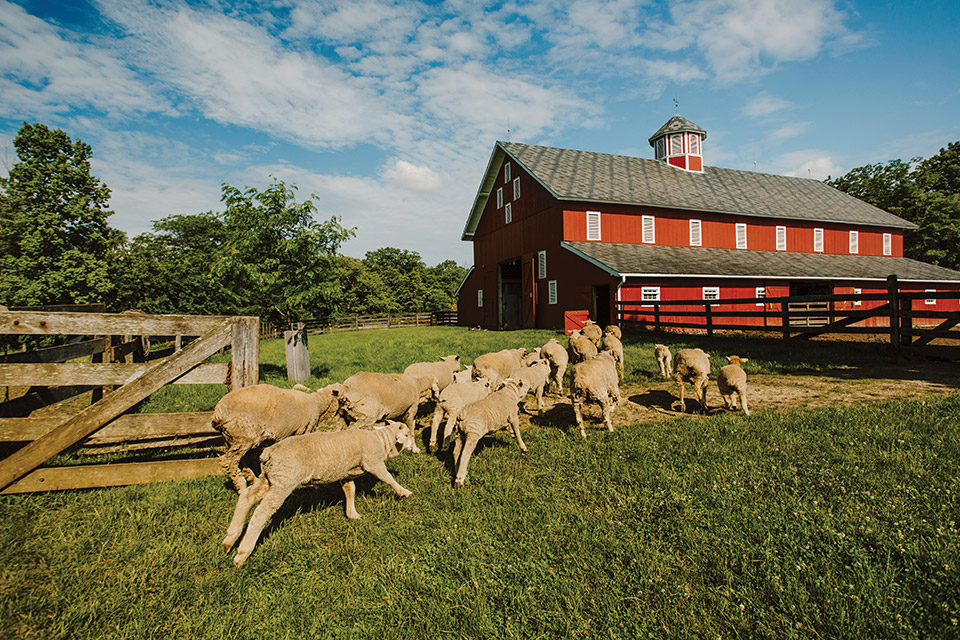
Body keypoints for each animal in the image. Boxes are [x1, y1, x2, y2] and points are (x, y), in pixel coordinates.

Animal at [210, 382, 342, 492]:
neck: (319, 404)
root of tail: (218, 413)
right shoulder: (302, 431)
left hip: (232, 440)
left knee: (240, 461)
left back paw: (253, 481)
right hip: (242, 437)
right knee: (230, 462)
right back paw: (241, 486)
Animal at [221, 422, 416, 568]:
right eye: (408, 434)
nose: (416, 449)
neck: (382, 441)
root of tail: (268, 452)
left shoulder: (344, 472)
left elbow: (350, 489)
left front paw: (352, 513)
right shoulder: (373, 462)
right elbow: (388, 478)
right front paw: (404, 492)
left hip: (269, 477)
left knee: (247, 496)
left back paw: (230, 539)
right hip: (284, 480)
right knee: (262, 512)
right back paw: (242, 554)